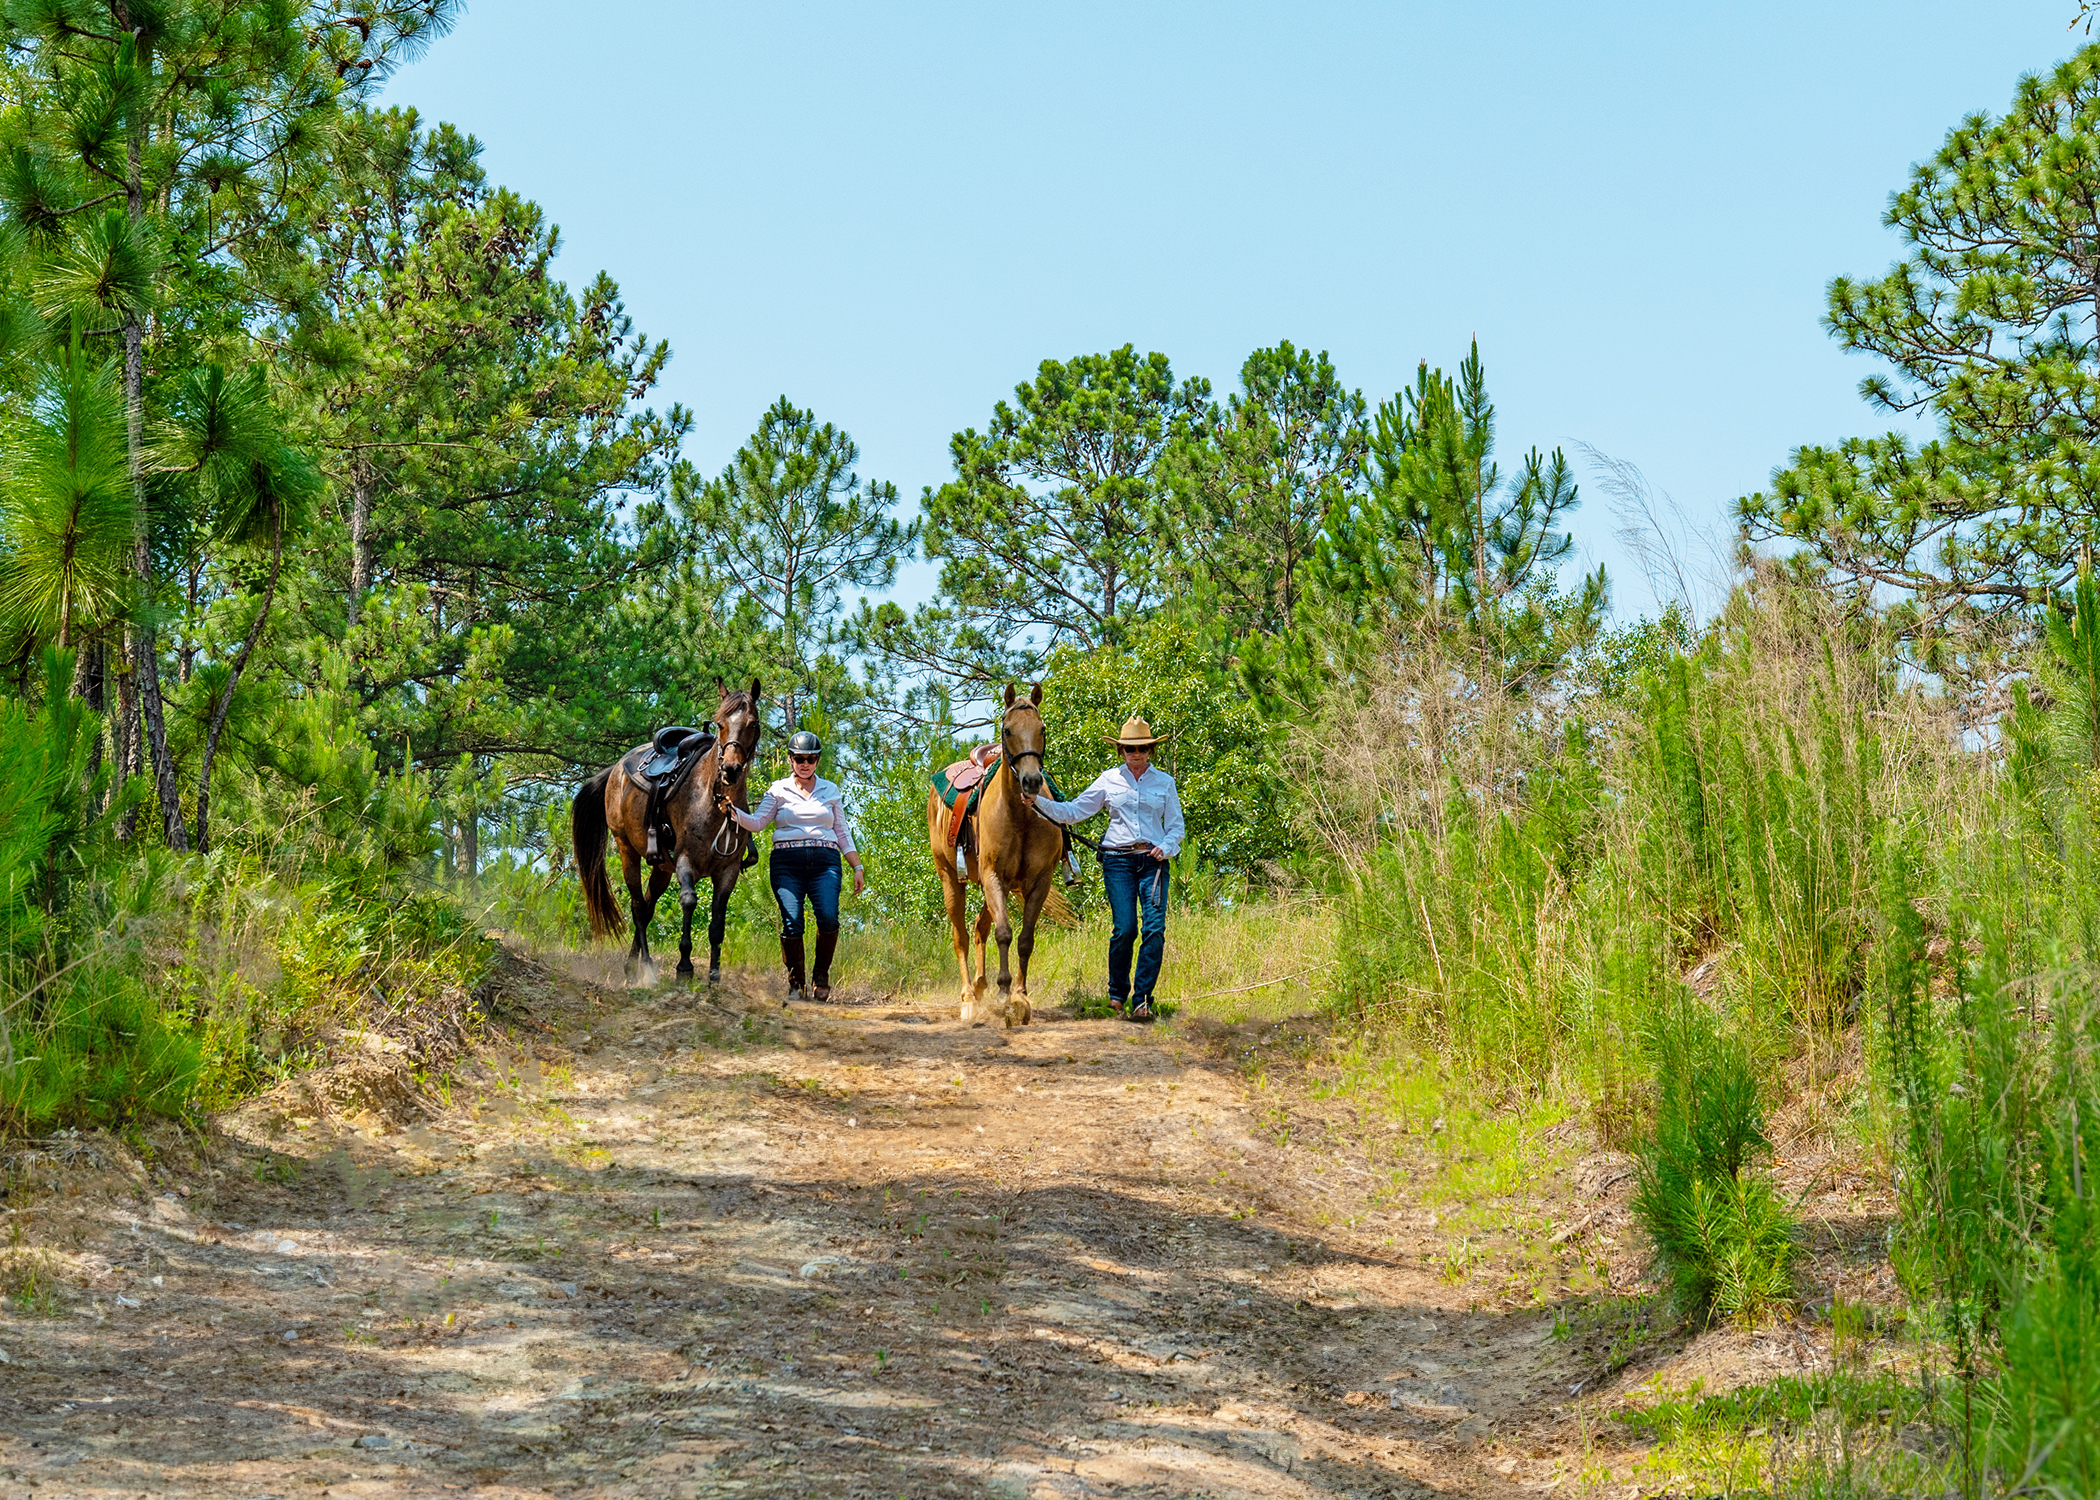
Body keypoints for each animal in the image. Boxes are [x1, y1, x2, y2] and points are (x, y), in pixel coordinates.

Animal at [575, 676, 764, 983]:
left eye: (753, 723)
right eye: (719, 723)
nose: (730, 769)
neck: (712, 801)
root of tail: (617, 768)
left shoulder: (728, 871)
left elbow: (718, 922)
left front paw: (714, 975)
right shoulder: (686, 861)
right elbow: (688, 901)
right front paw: (684, 966)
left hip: (662, 867)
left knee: (649, 905)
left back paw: (632, 965)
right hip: (627, 849)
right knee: (639, 908)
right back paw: (646, 967)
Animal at [928, 680, 1066, 1021]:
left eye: (1042, 728)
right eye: (1007, 730)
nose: (1031, 781)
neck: (1020, 816)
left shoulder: (1039, 882)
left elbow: (1025, 939)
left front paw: (1020, 995)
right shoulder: (993, 877)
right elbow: (1004, 932)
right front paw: (1004, 992)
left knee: (979, 928)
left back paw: (979, 986)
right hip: (951, 880)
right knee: (961, 937)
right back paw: (968, 997)